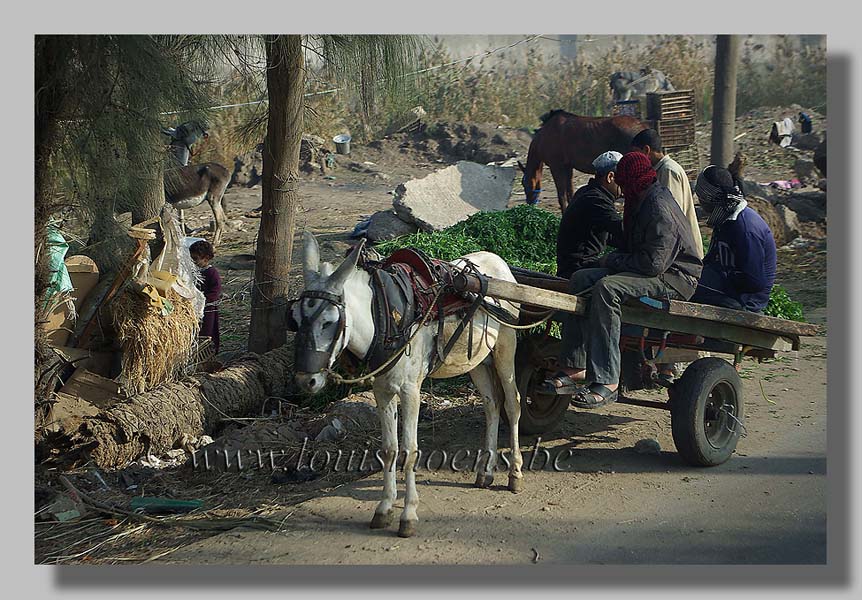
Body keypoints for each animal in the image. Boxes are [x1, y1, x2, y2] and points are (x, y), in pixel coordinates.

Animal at [520, 110, 648, 213]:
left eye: (525, 184)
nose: (529, 204)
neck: (545, 134)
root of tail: (641, 126)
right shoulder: (568, 167)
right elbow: (570, 192)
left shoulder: (556, 167)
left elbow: (562, 195)